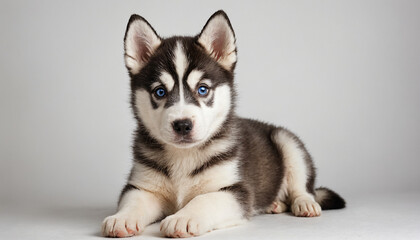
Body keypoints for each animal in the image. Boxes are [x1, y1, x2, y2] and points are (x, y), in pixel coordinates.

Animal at [101, 9, 344, 238]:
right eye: (159, 92)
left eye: (203, 89)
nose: (182, 125)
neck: (183, 156)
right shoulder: (142, 186)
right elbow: (134, 201)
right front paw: (121, 218)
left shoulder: (235, 191)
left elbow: (205, 200)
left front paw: (183, 218)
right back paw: (275, 204)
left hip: (287, 142)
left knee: (302, 185)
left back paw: (304, 203)